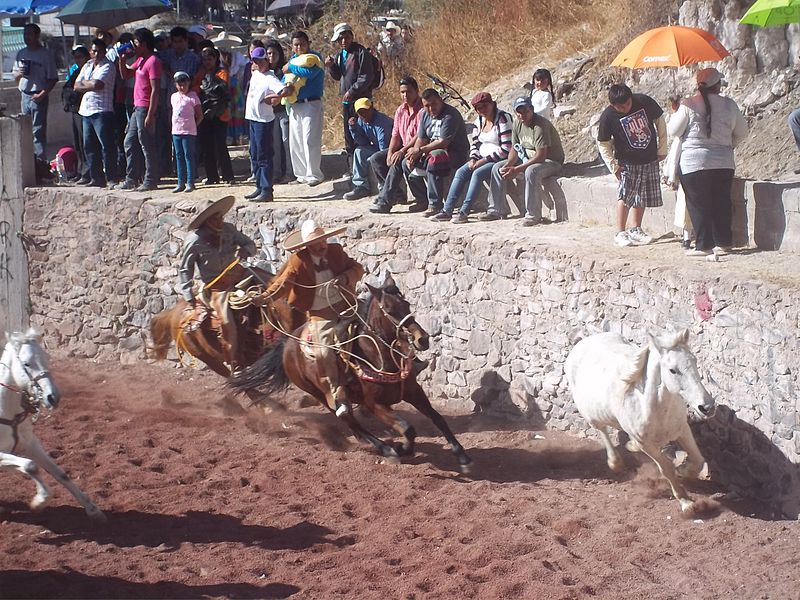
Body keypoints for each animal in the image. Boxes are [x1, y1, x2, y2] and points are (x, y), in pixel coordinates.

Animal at [0, 328, 105, 520]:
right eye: (26, 364)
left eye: (47, 358)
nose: (53, 397)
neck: (6, 410)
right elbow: (30, 466)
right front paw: (39, 501)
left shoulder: (30, 444)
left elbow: (60, 474)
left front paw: (92, 509)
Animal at [228, 276, 472, 474]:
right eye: (389, 309)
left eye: (407, 304)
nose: (422, 339)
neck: (376, 356)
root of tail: (288, 343)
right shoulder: (375, 404)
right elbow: (407, 428)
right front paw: (403, 448)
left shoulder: (413, 391)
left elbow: (437, 418)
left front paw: (462, 456)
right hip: (321, 394)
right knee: (347, 418)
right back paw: (386, 449)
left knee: (353, 422)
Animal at [564, 328, 716, 510]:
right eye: (673, 370)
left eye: (694, 360)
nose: (707, 407)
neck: (656, 411)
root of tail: (584, 341)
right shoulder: (647, 445)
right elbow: (666, 468)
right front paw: (685, 502)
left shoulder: (682, 430)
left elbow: (698, 460)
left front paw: (683, 471)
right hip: (591, 415)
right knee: (602, 430)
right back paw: (615, 462)